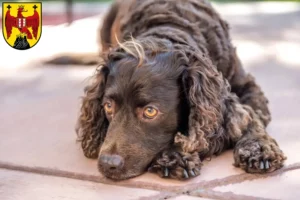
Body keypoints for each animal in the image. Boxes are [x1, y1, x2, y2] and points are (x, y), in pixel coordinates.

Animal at [58, 0, 286, 180]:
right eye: (108, 106)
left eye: (150, 111)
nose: (107, 164)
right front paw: (175, 155)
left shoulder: (247, 88)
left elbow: (251, 117)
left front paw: (259, 148)